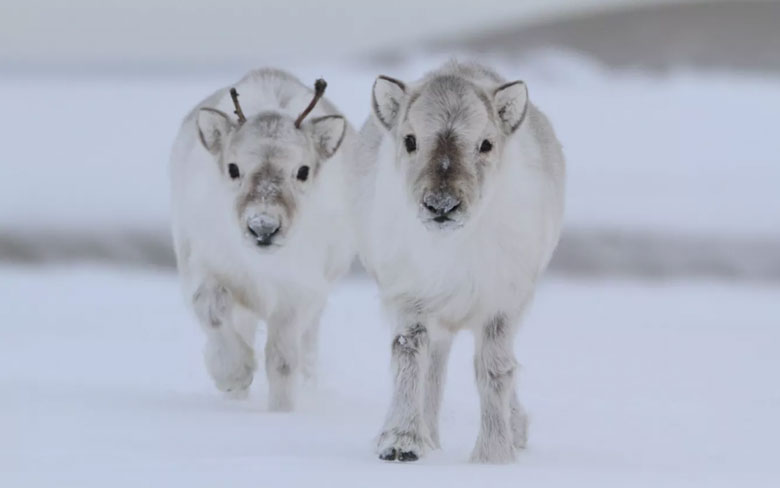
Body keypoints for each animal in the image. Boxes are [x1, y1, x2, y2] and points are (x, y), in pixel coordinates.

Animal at [171, 68, 356, 410]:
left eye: (303, 170)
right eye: (233, 168)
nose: (263, 227)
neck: (262, 265)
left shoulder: (299, 294)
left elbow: (282, 361)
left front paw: (280, 411)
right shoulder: (206, 265)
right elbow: (211, 310)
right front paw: (233, 375)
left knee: (307, 348)